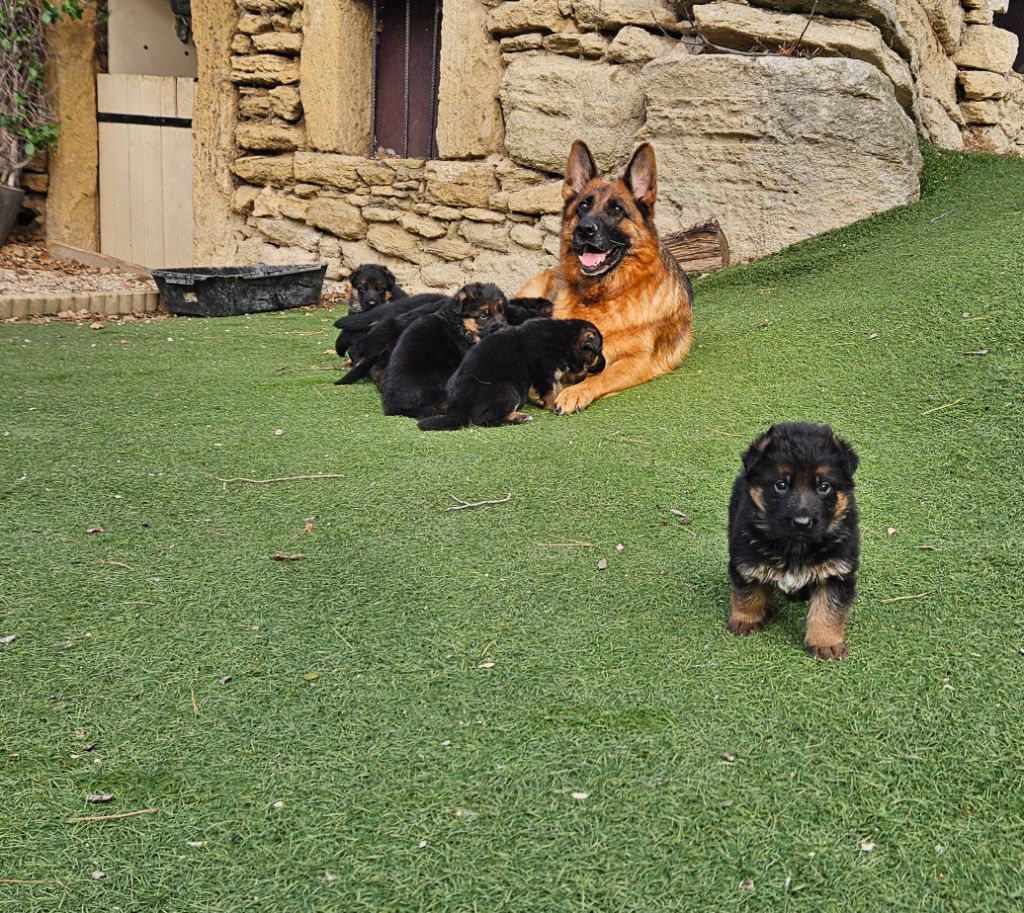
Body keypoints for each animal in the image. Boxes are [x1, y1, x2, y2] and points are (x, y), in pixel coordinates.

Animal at [417, 319, 602, 433]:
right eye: (598, 352)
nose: (604, 366)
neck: (564, 338)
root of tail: (458, 408)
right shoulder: (543, 373)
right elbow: (551, 391)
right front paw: (554, 403)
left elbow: (556, 386)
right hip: (507, 390)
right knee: (486, 419)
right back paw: (519, 417)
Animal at [516, 139, 692, 413]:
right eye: (583, 206)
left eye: (616, 209)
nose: (584, 229)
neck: (602, 296)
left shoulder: (637, 360)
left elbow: (601, 376)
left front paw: (574, 393)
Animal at [724, 423, 860, 659]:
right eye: (781, 485)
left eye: (824, 486)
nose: (802, 522)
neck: (796, 546)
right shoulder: (746, 557)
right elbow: (747, 593)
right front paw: (745, 620)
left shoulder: (837, 572)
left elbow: (829, 610)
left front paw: (826, 643)